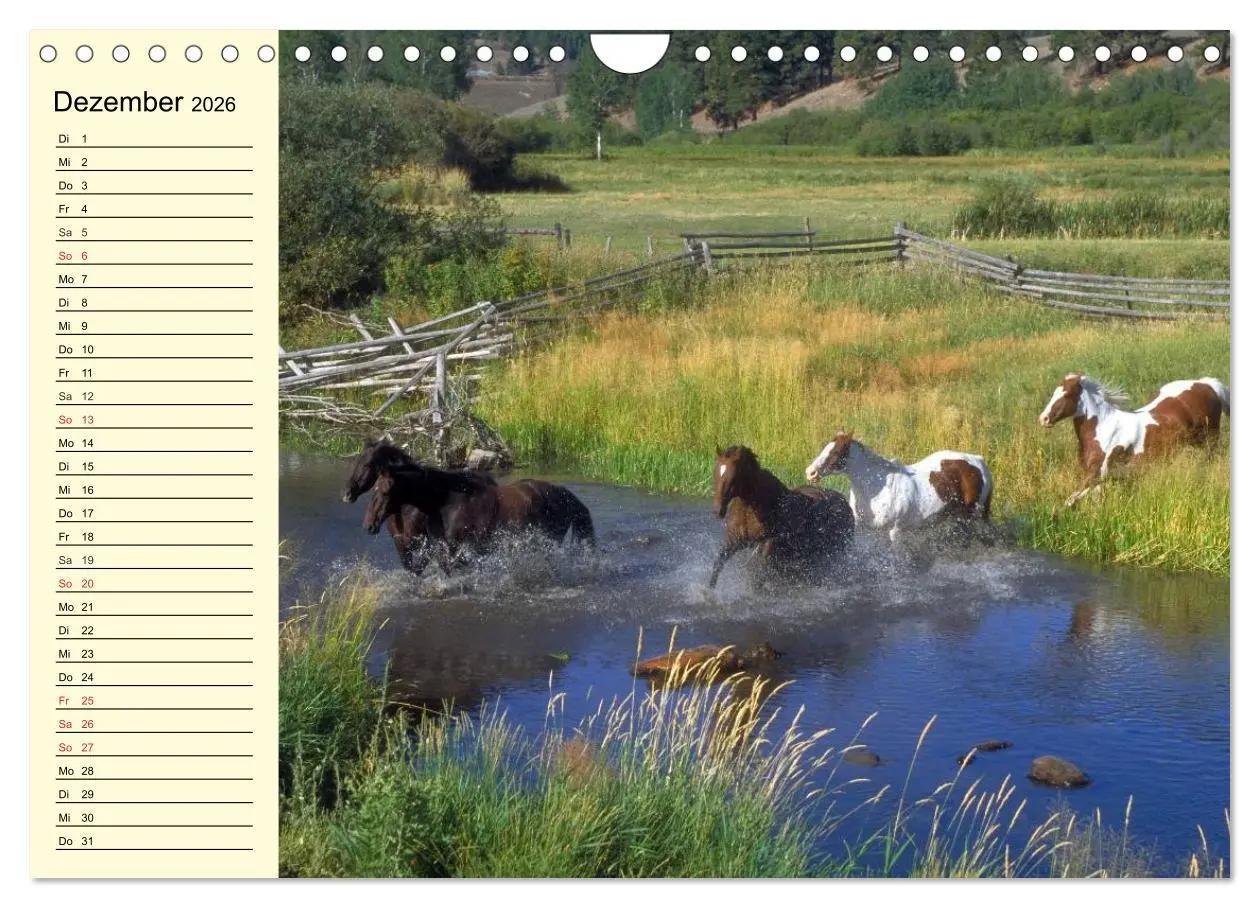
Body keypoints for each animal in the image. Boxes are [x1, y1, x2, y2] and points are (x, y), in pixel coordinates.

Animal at [710, 445, 854, 589]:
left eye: (733, 477)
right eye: (716, 473)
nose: (718, 510)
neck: (752, 509)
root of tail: (846, 505)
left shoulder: (768, 544)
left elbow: (758, 577)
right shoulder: (734, 539)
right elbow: (717, 566)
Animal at [803, 429, 993, 544]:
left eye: (836, 452)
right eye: (825, 448)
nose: (810, 472)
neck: (876, 488)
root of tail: (978, 461)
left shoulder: (894, 532)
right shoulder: (866, 531)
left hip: (967, 518)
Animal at [1037, 373, 1229, 507]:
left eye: (1066, 394)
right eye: (1054, 393)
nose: (1044, 419)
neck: (1104, 429)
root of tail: (1207, 383)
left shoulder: (1096, 474)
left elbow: (1070, 500)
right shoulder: (1099, 479)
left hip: (1211, 441)